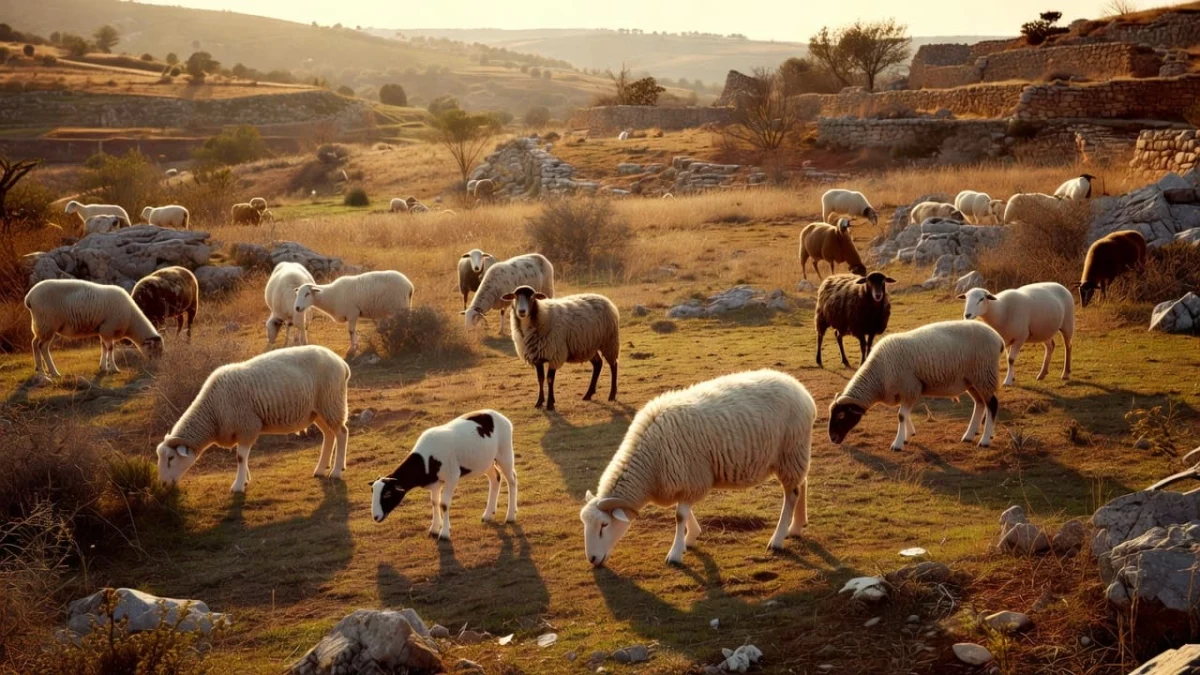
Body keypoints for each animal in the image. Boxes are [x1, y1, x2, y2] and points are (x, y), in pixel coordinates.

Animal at [24, 279, 163, 378]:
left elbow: (104, 347)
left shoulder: (103, 330)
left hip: (40, 326)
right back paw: (53, 372)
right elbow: (111, 348)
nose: (157, 366)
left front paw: (103, 367)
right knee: (43, 347)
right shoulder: (108, 327)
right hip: (47, 324)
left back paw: (40, 370)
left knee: (35, 343)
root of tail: (29, 297)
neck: (131, 320)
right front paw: (114, 368)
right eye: (156, 350)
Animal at [155, 345, 350, 493]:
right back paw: (320, 469)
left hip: (331, 402)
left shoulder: (247, 425)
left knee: (341, 433)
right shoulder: (242, 430)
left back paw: (336, 471)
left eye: (171, 458)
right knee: (329, 435)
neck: (212, 412)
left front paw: (238, 485)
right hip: (318, 410)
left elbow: (240, 457)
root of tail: (341, 362)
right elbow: (244, 457)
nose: (163, 485)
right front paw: (245, 479)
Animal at [370, 410, 517, 540]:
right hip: (485, 462)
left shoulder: (452, 476)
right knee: (495, 478)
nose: (375, 517)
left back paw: (510, 516)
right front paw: (434, 529)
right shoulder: (436, 482)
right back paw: (488, 515)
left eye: (387, 494)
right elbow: (435, 502)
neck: (425, 461)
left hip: (505, 452)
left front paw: (444, 533)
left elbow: (444, 504)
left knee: (512, 480)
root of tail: (499, 415)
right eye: (373, 492)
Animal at [579, 369, 814, 566]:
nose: (592, 559)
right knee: (802, 483)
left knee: (791, 494)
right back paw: (796, 527)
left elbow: (679, 515)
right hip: (795, 454)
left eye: (604, 525)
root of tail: (803, 392)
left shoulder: (691, 477)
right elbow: (684, 511)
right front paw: (691, 537)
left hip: (790, 451)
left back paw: (778, 538)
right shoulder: (685, 480)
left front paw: (675, 553)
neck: (649, 466)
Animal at [828, 320, 1004, 453]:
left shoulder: (910, 386)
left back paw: (985, 440)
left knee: (992, 404)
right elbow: (905, 414)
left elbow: (901, 415)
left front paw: (898, 444)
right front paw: (908, 435)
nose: (833, 438)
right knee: (980, 404)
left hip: (984, 373)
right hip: (972, 380)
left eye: (841, 416)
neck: (878, 375)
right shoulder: (907, 390)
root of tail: (998, 338)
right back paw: (969, 435)